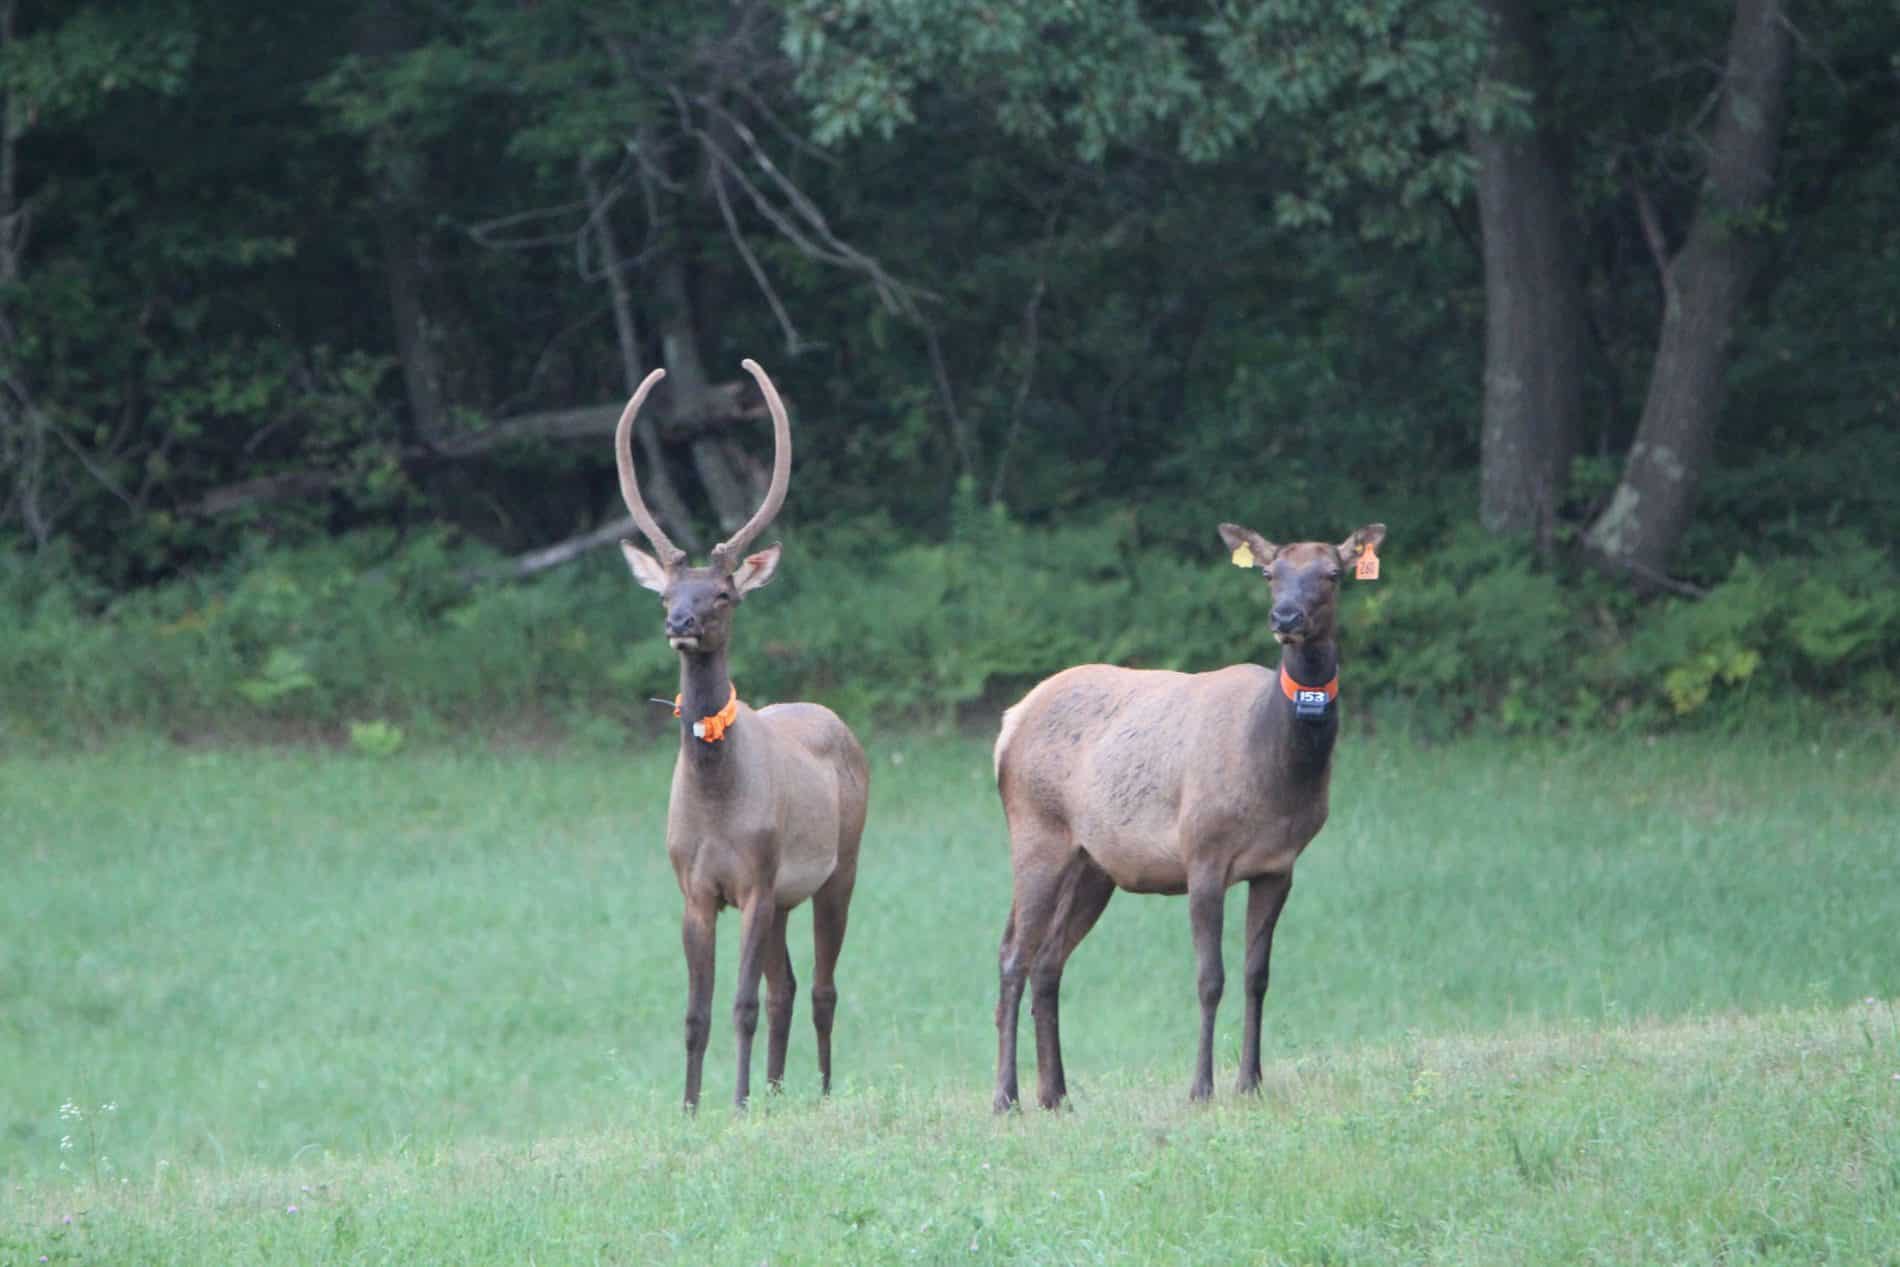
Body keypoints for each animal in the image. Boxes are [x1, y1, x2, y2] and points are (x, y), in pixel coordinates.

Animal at [614, 358, 869, 1112]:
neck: (717, 809)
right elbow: (697, 1011)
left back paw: (818, 1091)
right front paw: (693, 1106)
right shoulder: (695, 888)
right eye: (666, 596)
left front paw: (736, 1102)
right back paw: (780, 1089)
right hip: (787, 894)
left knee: (821, 988)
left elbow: (742, 1004)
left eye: (722, 594)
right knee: (787, 986)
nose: (681, 624)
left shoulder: (756, 878)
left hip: (839, 867)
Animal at [989, 520, 1386, 1111]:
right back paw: (1007, 1097)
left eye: (1333, 574)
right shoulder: (1202, 854)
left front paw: (1250, 1082)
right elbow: (1210, 978)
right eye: (1270, 573)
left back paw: (1056, 1095)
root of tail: (1008, 725)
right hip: (1036, 831)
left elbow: (1256, 975)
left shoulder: (1279, 866)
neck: (1273, 767)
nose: (1285, 618)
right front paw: (1201, 1087)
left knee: (1048, 961)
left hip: (1092, 864)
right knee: (1013, 953)